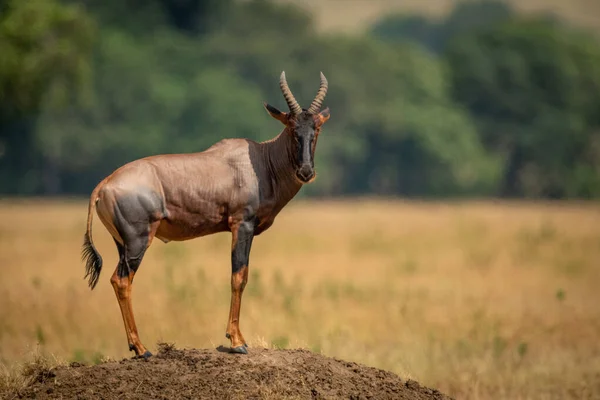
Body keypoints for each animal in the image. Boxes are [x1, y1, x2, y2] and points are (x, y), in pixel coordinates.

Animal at [82, 71, 330, 356]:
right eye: (291, 127)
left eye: (316, 128)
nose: (306, 171)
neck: (259, 161)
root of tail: (104, 184)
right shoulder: (241, 224)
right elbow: (239, 276)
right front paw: (237, 342)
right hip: (137, 240)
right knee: (122, 280)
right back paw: (142, 348)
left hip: (121, 242)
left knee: (118, 280)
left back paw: (136, 346)